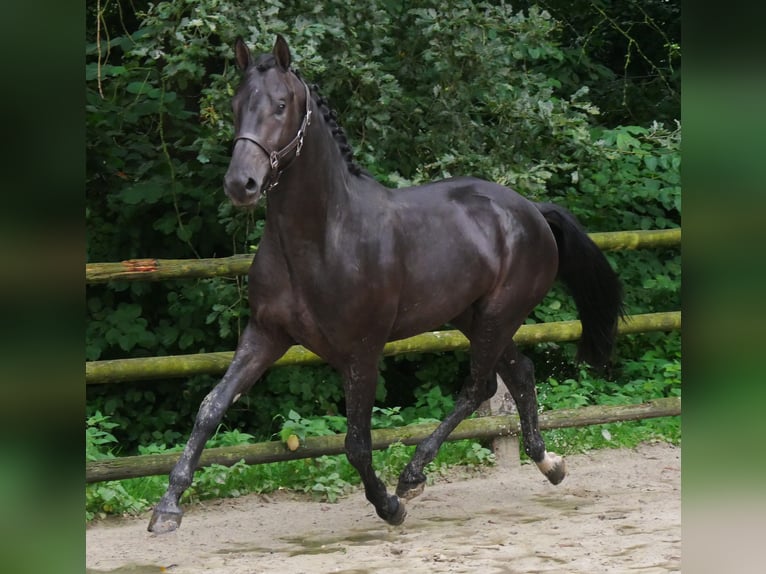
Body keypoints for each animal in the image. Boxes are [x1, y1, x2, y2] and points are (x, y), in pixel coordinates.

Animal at [148, 35, 624, 536]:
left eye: (280, 104)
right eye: (236, 104)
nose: (241, 183)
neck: (322, 237)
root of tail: (532, 210)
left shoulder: (362, 351)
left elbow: (356, 442)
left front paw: (389, 506)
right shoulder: (265, 336)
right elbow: (210, 407)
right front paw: (168, 508)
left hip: (499, 315)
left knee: (478, 387)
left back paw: (413, 476)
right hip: (474, 317)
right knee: (519, 374)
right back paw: (548, 463)